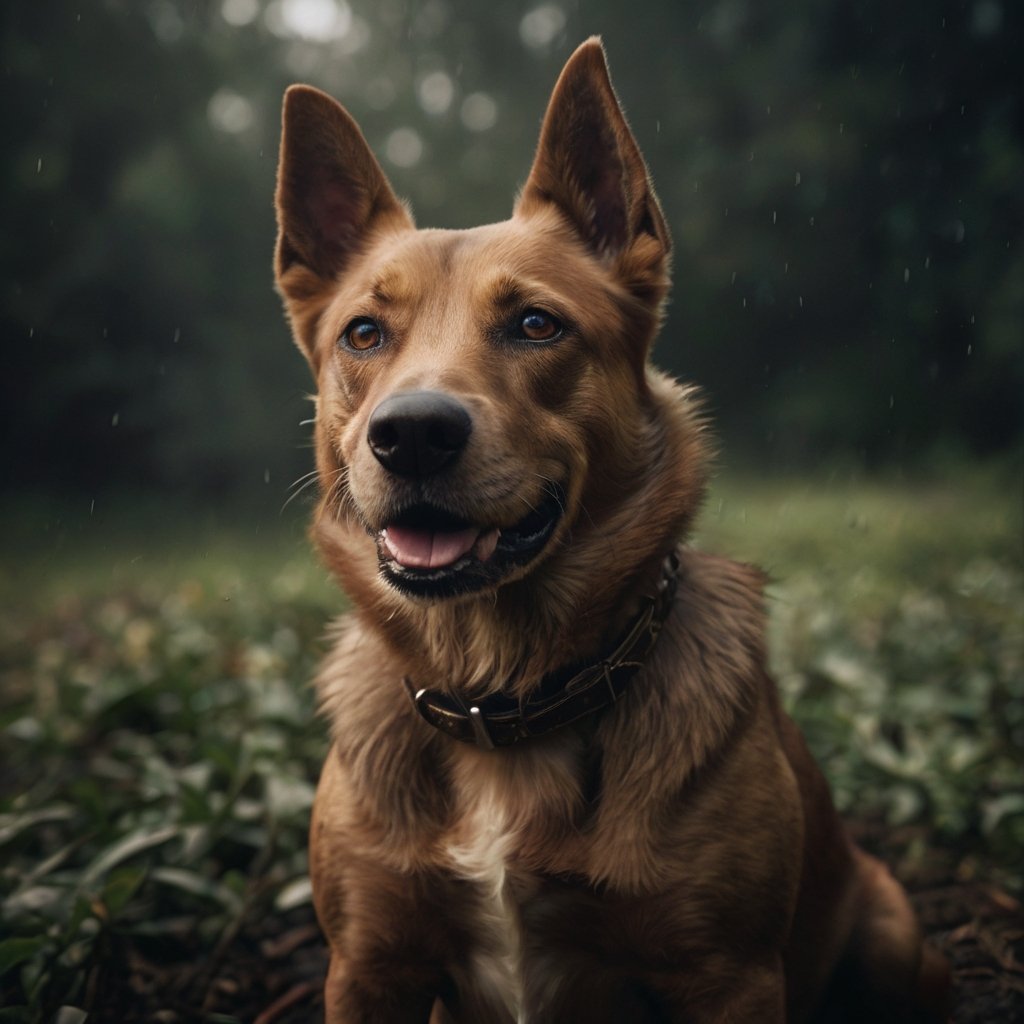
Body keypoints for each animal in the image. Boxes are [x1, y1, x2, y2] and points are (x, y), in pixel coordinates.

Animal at [274, 36, 950, 1019]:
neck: (502, 697)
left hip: (895, 937)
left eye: (535, 324)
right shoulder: (367, 967)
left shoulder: (732, 976)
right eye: (363, 334)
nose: (412, 435)